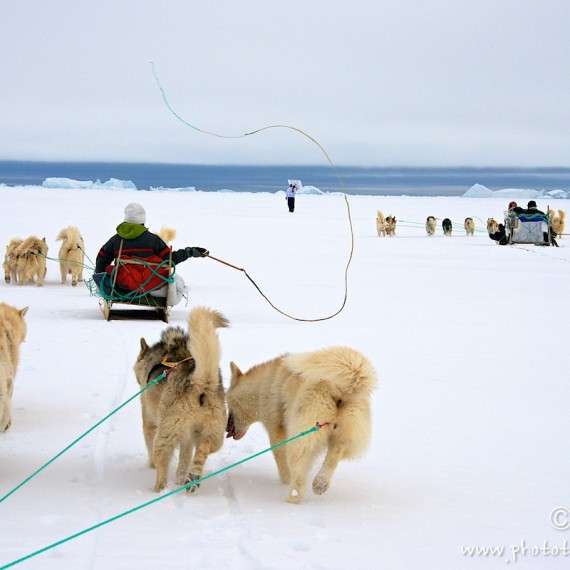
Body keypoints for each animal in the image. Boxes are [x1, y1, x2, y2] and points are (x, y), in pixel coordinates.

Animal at [133, 304, 229, 490]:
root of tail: (200, 383)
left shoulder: (149, 420)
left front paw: (151, 466)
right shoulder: (188, 437)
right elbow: (184, 458)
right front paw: (179, 478)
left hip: (165, 435)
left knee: (161, 467)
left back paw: (158, 489)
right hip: (213, 434)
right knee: (204, 447)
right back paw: (192, 476)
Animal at [224, 346, 374, 502]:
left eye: (227, 403)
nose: (226, 428)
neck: (261, 388)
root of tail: (338, 390)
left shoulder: (276, 433)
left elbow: (282, 464)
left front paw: (285, 482)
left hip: (301, 439)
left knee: (299, 473)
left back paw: (292, 499)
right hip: (343, 435)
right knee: (334, 454)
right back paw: (320, 483)